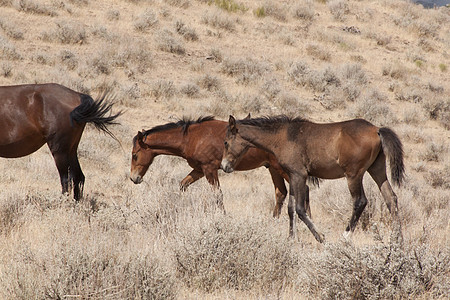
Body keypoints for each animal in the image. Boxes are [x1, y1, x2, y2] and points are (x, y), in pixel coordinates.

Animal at [128, 116, 314, 217]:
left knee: (303, 190)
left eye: (134, 155)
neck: (191, 137)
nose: (134, 178)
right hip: (273, 169)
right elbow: (183, 185)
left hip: (284, 170)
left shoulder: (209, 169)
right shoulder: (199, 170)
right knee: (281, 193)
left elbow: (218, 195)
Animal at [221, 115, 404, 244]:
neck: (283, 137)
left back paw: (344, 238)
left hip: (354, 175)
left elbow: (300, 209)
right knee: (391, 198)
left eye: (225, 142)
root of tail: (377, 130)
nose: (224, 166)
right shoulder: (293, 176)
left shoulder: (299, 175)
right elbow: (291, 208)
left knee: (360, 201)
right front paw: (291, 238)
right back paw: (397, 241)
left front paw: (321, 237)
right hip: (377, 170)